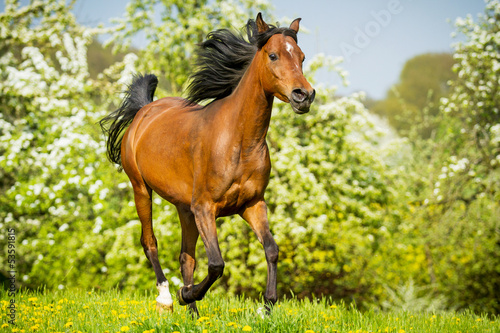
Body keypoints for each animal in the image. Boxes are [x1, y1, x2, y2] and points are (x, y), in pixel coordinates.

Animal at [99, 13, 314, 314]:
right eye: (273, 55)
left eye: (302, 57)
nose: (303, 95)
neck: (239, 142)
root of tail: (144, 111)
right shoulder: (204, 208)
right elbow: (216, 264)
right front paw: (184, 294)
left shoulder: (252, 204)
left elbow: (271, 250)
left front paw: (267, 307)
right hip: (141, 188)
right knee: (149, 242)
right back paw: (167, 298)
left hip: (184, 209)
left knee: (186, 257)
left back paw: (193, 314)